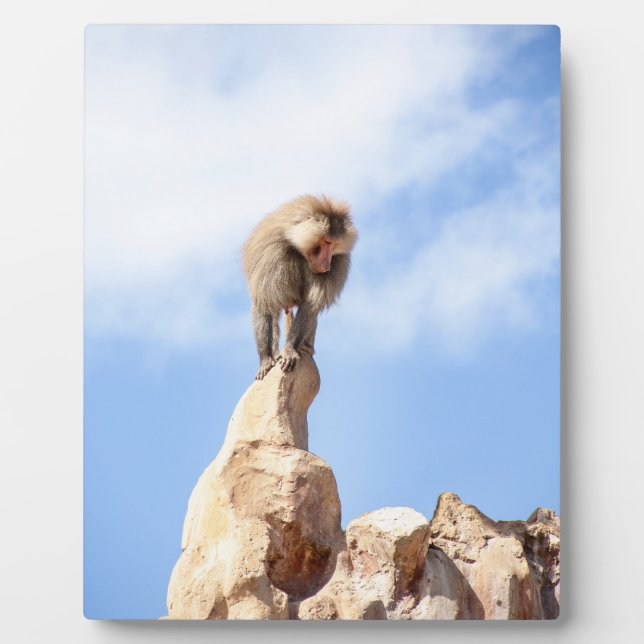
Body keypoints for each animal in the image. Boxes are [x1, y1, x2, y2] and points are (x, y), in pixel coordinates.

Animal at [242, 194, 357, 380]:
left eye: (334, 245)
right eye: (326, 242)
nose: (326, 266)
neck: (297, 246)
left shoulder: (338, 262)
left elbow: (310, 306)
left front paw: (290, 351)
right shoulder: (271, 254)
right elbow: (264, 303)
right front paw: (265, 360)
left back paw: (305, 349)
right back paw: (275, 354)